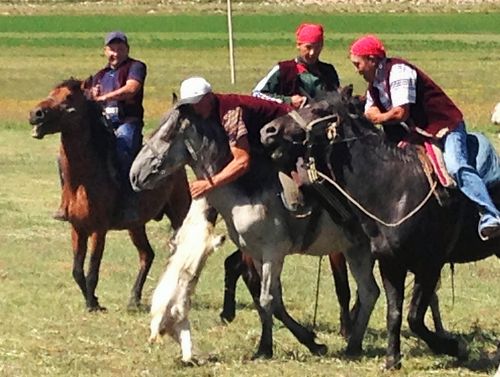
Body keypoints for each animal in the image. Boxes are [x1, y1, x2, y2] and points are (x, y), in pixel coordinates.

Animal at [28, 78, 191, 310]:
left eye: (68, 97)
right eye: (52, 93)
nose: (36, 113)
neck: (84, 180)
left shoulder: (99, 230)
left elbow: (92, 270)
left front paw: (93, 305)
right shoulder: (77, 229)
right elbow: (77, 271)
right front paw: (93, 299)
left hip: (179, 214)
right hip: (136, 226)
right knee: (147, 255)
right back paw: (134, 298)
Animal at [262, 89, 500, 368]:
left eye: (320, 110)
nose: (268, 130)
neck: (394, 188)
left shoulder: (430, 264)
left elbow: (414, 318)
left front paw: (454, 346)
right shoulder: (391, 263)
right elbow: (394, 311)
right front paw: (392, 359)